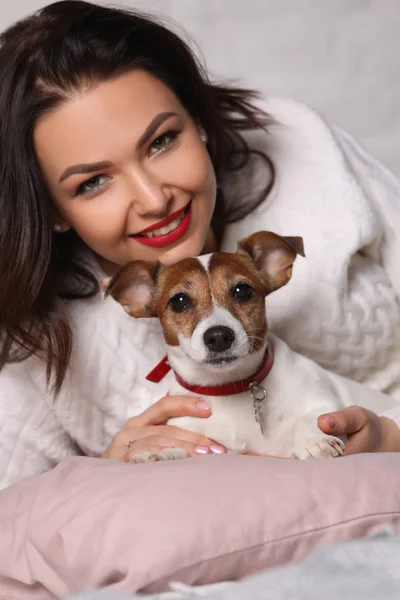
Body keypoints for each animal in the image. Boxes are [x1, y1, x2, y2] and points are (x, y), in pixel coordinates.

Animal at [104, 232, 350, 462]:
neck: (227, 387)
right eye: (179, 301)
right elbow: (181, 449)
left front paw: (315, 440)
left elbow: (310, 419)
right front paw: (159, 454)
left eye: (243, 291)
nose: (219, 336)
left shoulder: (323, 401)